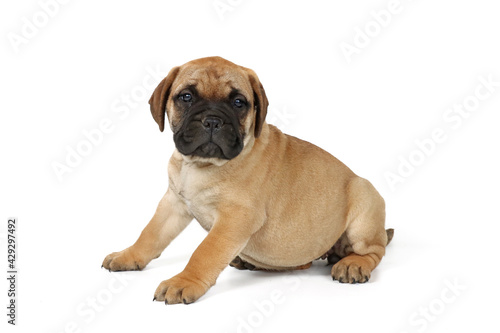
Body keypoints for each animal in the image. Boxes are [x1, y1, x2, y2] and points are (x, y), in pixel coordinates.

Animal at [102, 56, 394, 304]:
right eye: (186, 97)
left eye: (238, 103)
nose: (212, 121)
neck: (200, 166)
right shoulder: (173, 204)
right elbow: (150, 234)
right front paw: (129, 256)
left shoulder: (235, 219)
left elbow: (204, 252)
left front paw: (184, 281)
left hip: (364, 202)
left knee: (374, 250)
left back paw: (352, 263)